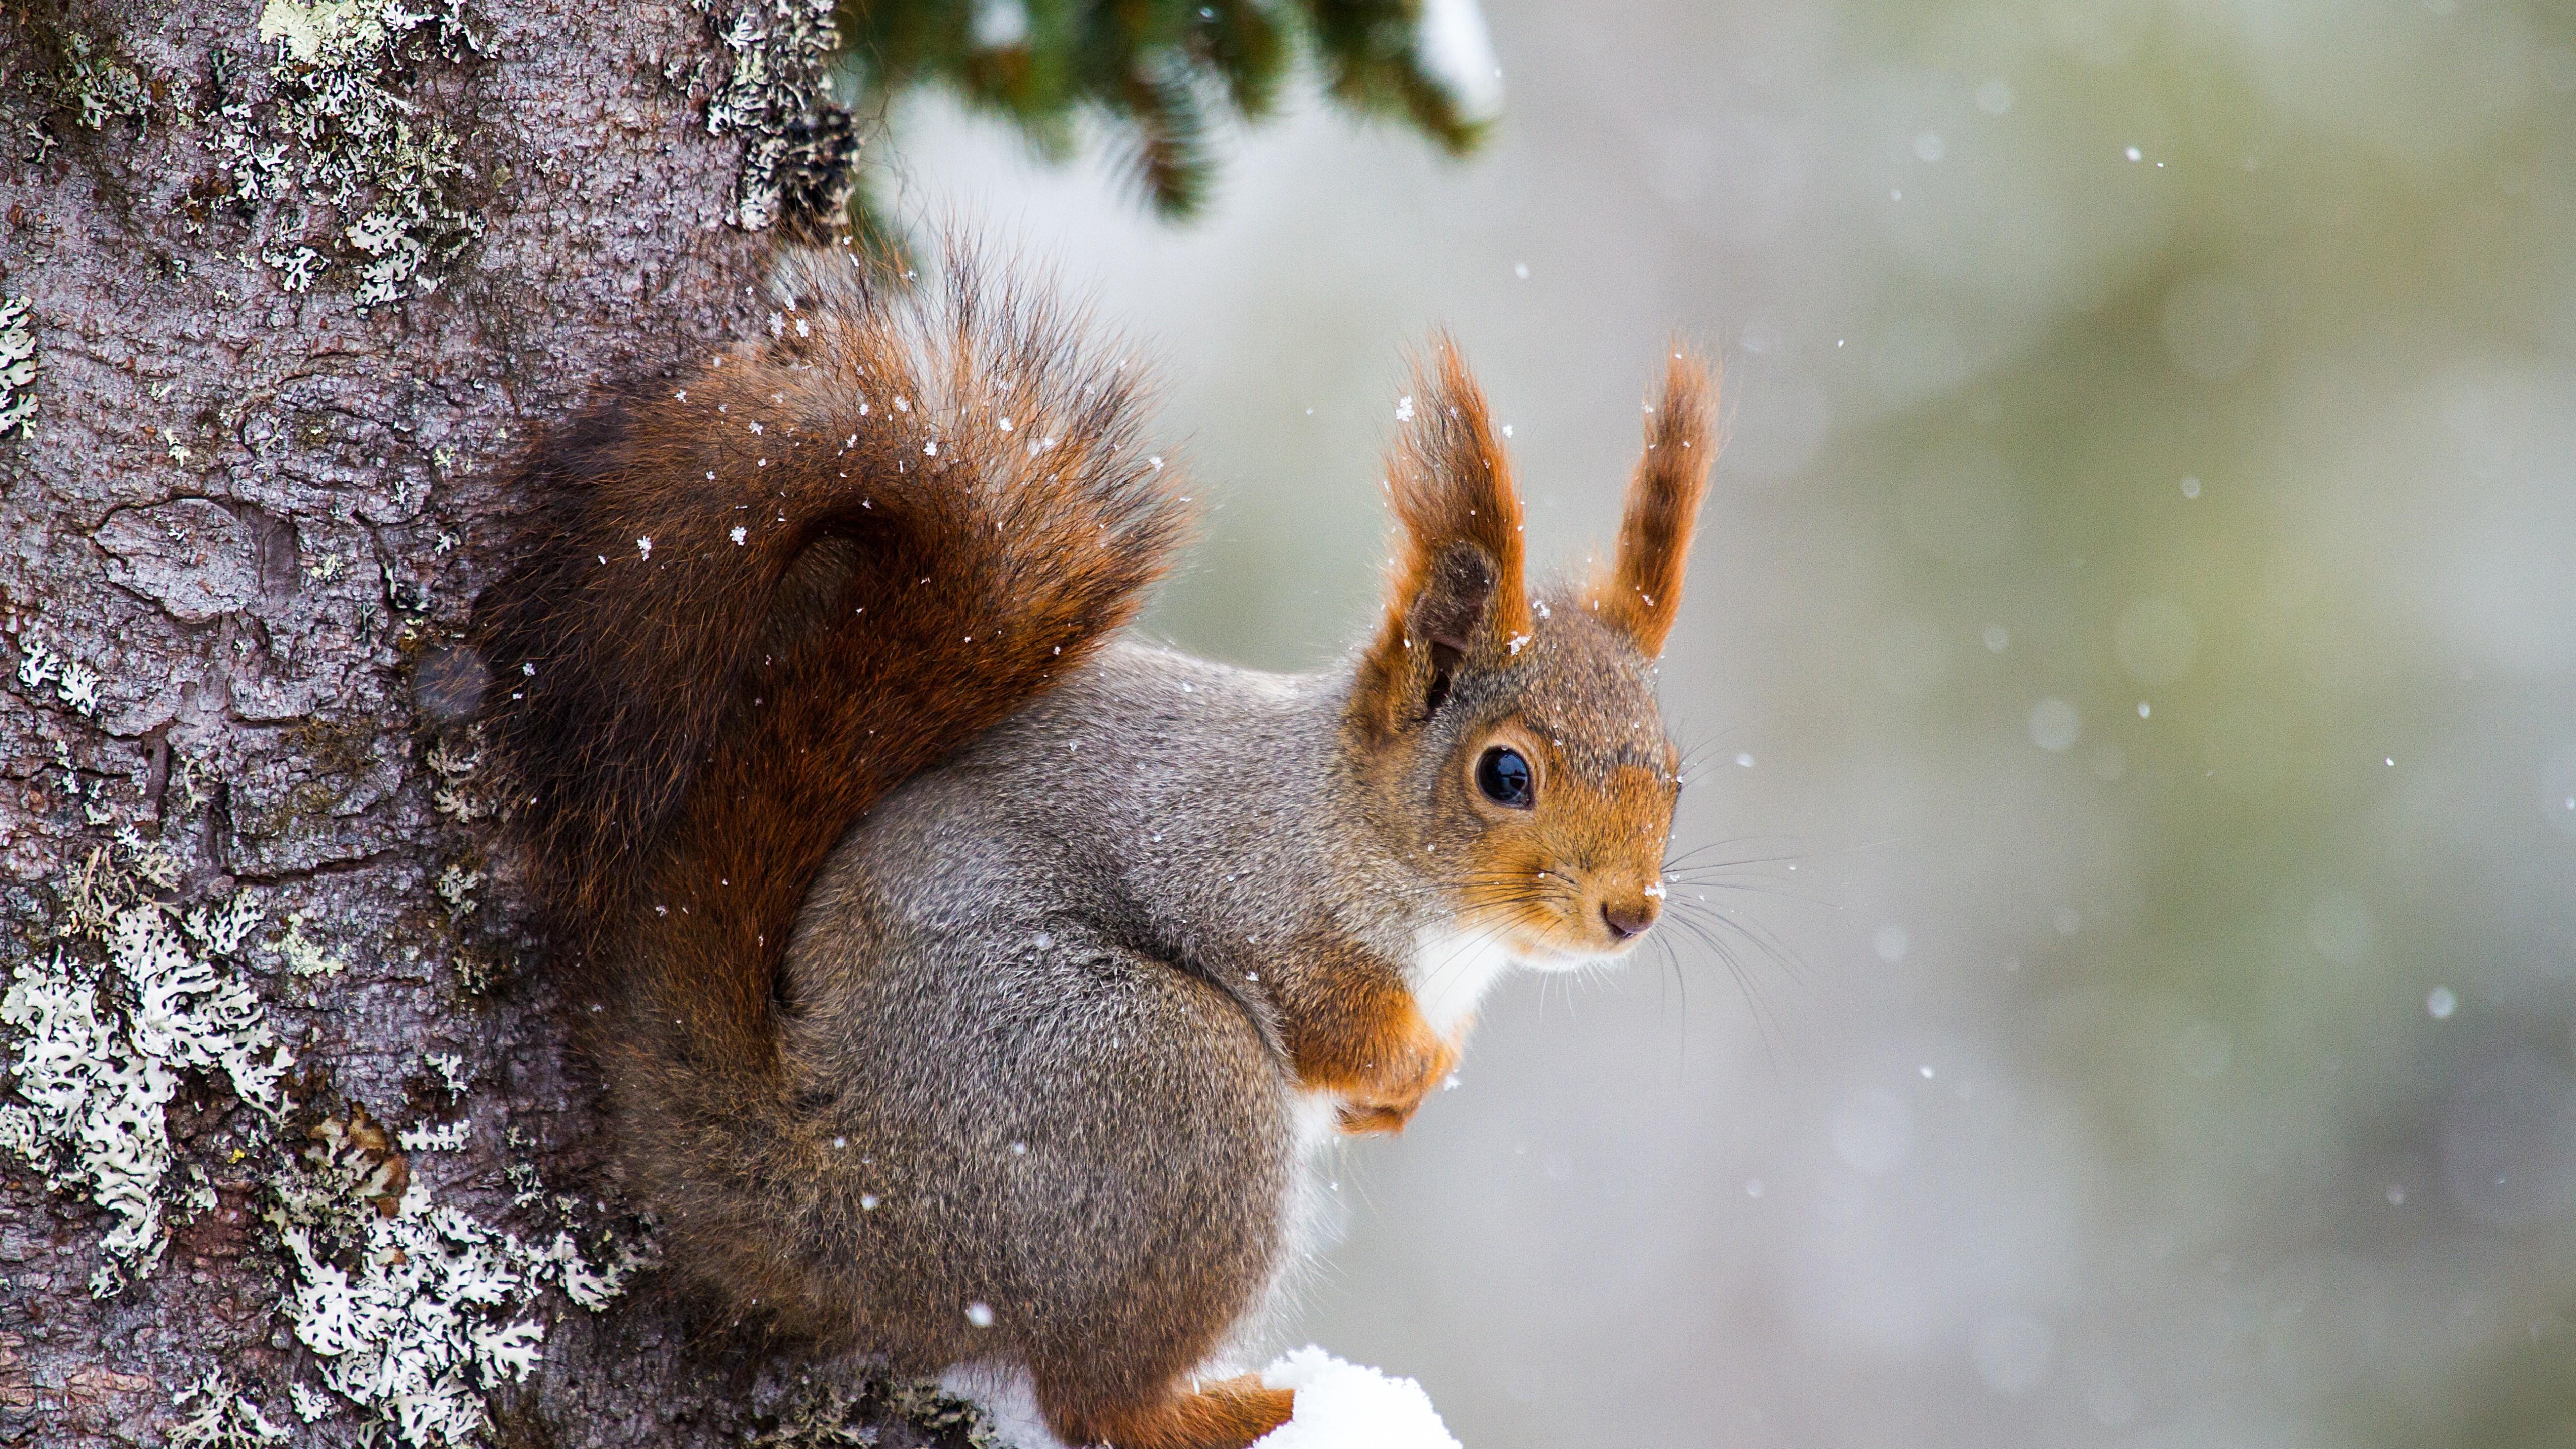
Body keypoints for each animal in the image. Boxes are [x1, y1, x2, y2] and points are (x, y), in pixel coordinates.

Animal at [475, 242, 1713, 1449]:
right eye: (1505, 775)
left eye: (1675, 773)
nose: (1629, 912)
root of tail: (857, 1184)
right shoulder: (1257, 891)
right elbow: (1331, 1018)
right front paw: (1399, 1069)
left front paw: (1410, 1094)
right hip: (1165, 1089)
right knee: (1098, 1402)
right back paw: (1250, 1410)